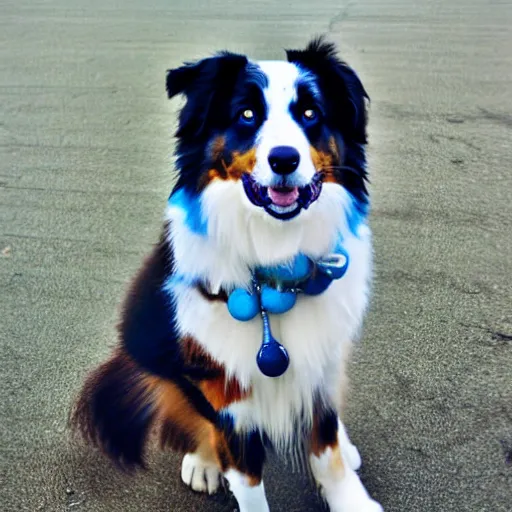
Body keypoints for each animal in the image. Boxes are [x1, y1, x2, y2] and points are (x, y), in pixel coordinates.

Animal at [72, 37, 384, 512]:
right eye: (247, 114)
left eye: (310, 113)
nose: (284, 159)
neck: (275, 257)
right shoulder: (229, 396)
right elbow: (246, 475)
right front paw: (216, 464)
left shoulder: (318, 365)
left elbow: (326, 447)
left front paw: (351, 497)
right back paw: (203, 461)